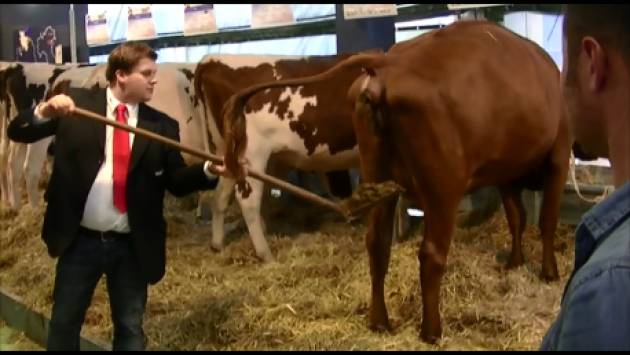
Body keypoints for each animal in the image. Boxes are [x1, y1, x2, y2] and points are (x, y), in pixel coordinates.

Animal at [225, 20, 576, 344]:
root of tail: (390, 63)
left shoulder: (506, 172)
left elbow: (517, 217)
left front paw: (515, 262)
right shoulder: (559, 156)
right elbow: (546, 219)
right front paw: (549, 272)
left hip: (378, 179)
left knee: (377, 244)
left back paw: (380, 322)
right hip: (442, 190)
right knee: (431, 254)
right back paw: (431, 331)